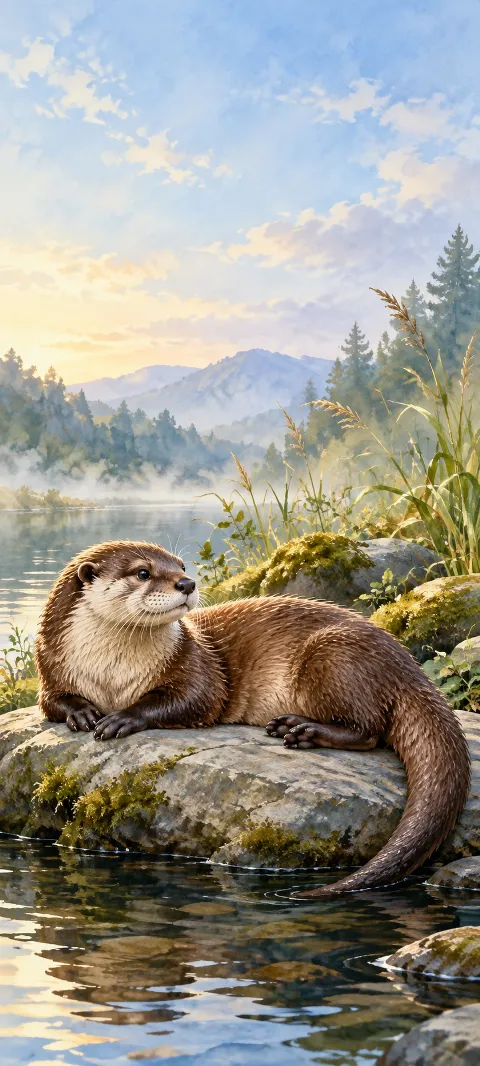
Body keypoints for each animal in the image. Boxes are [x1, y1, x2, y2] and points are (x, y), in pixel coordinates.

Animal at [36, 539, 471, 899]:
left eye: (181, 565)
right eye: (143, 572)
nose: (187, 583)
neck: (113, 676)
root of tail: (407, 665)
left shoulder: (199, 668)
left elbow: (193, 701)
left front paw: (121, 719)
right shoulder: (51, 666)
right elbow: (51, 702)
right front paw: (83, 712)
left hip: (333, 655)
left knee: (369, 730)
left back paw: (301, 730)